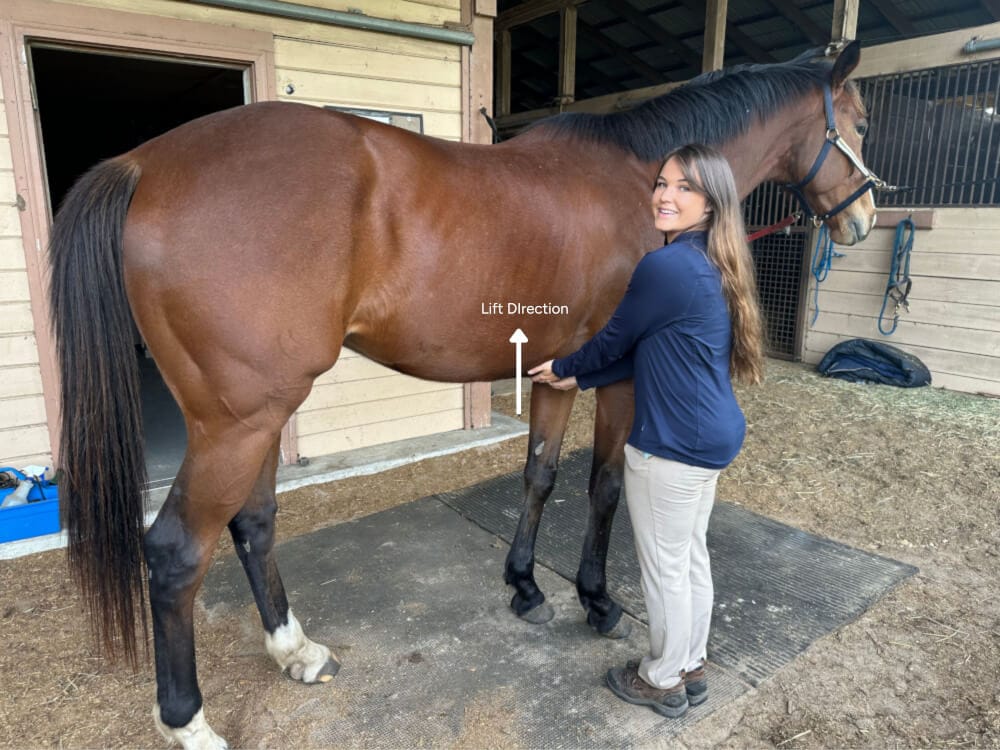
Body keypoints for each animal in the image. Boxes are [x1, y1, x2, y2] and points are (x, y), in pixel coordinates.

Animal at [49, 41, 877, 748]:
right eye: (862, 121)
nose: (867, 214)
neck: (640, 180)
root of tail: (144, 163)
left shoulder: (554, 370)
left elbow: (540, 473)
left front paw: (525, 586)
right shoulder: (620, 378)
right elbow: (604, 484)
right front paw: (597, 599)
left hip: (256, 416)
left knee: (252, 523)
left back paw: (297, 650)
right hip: (238, 423)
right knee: (176, 553)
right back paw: (189, 721)